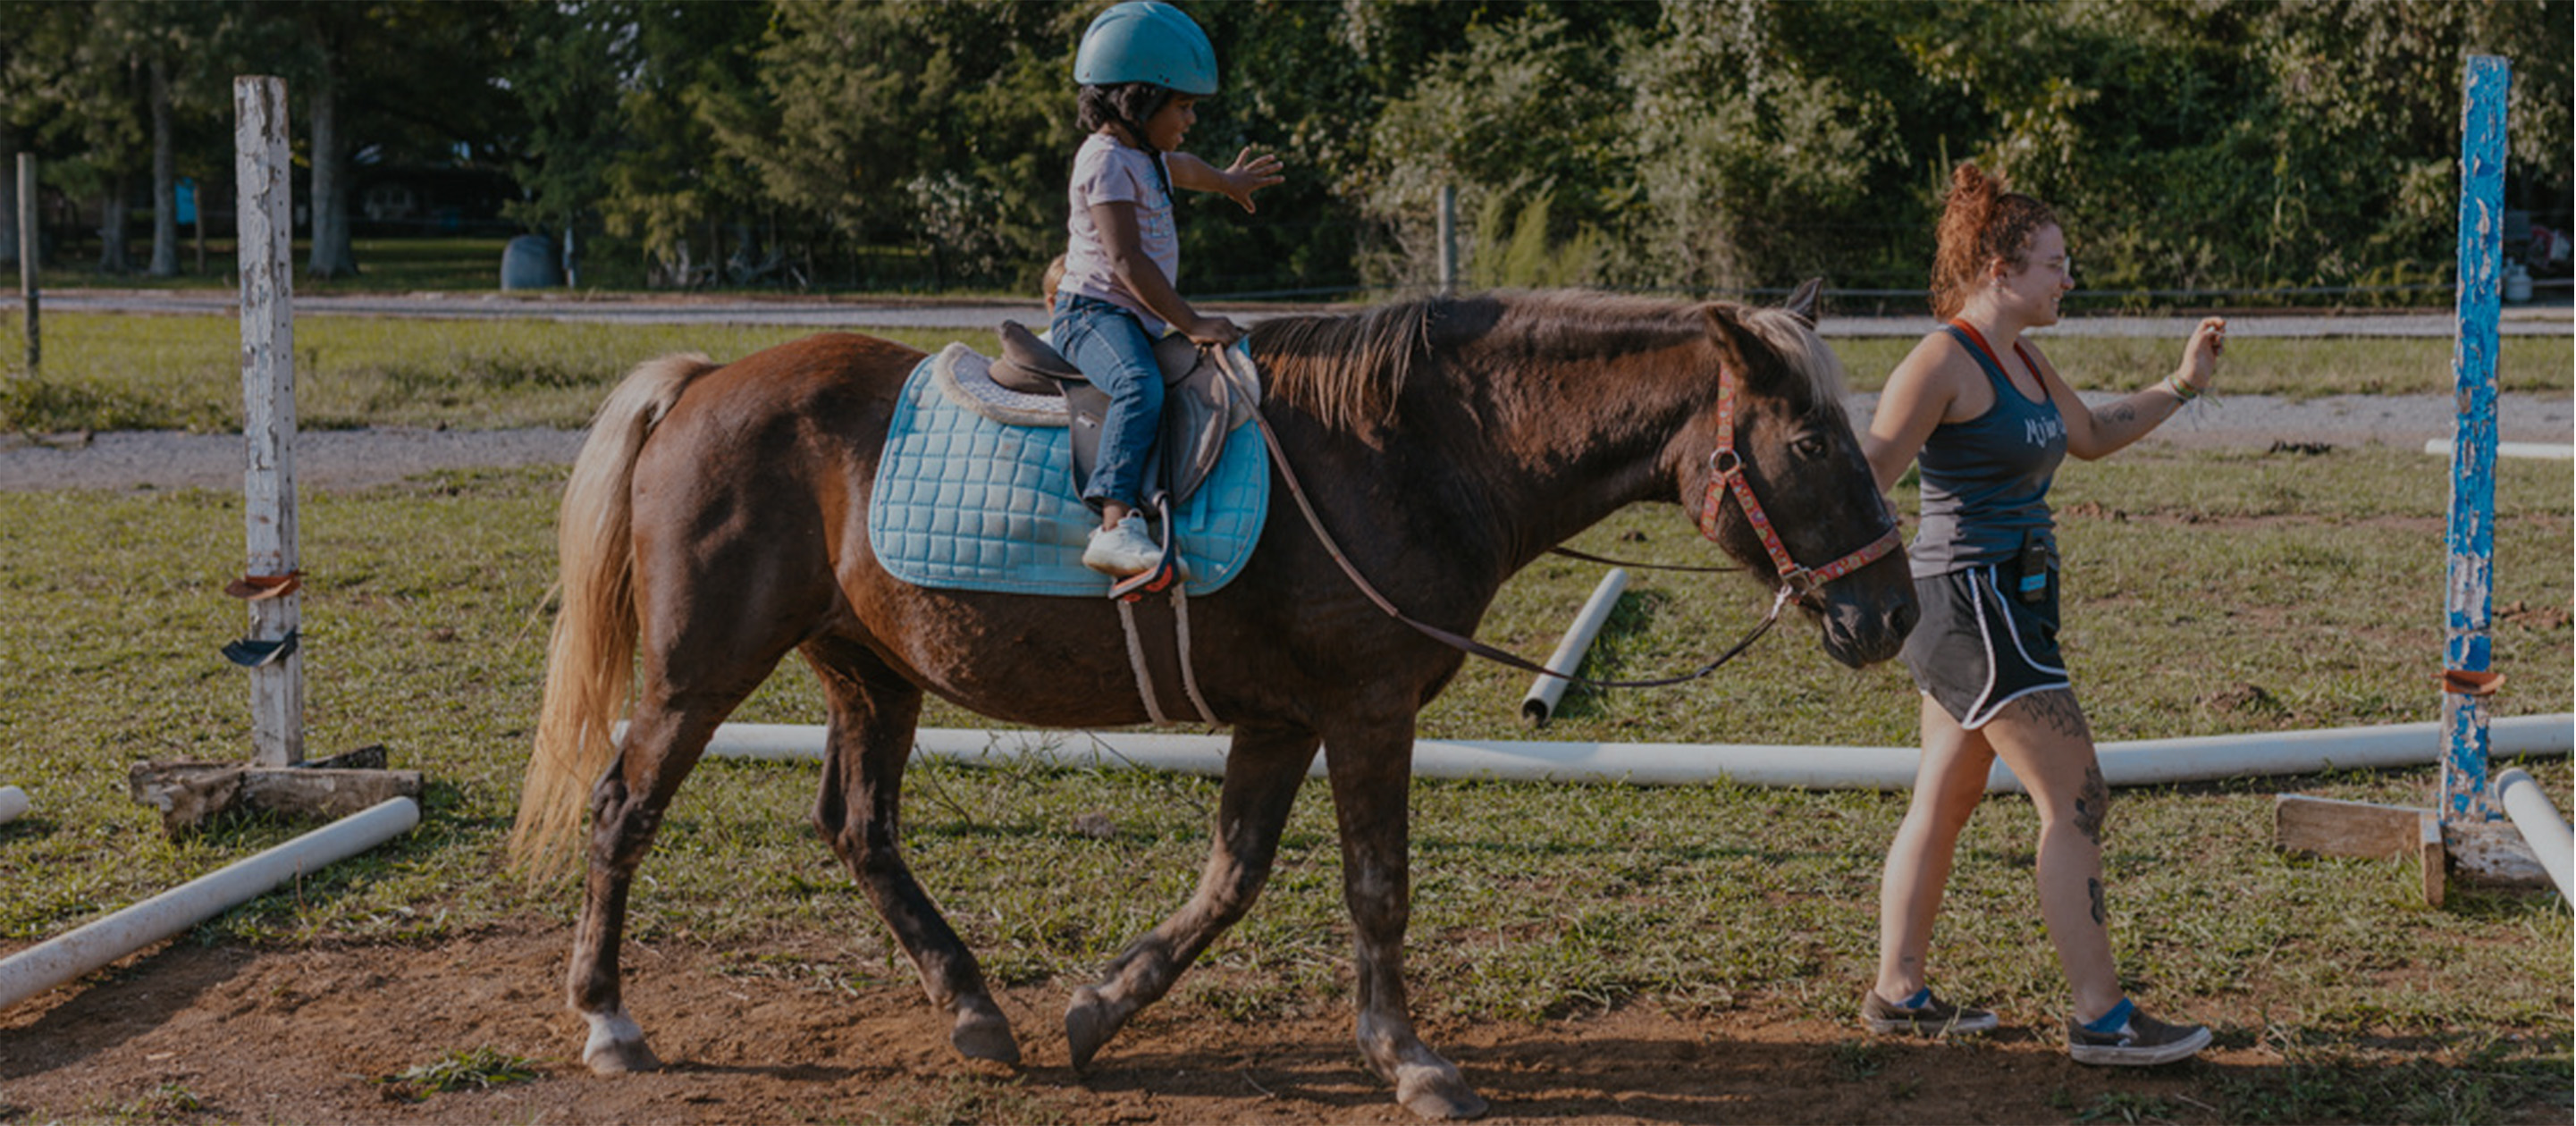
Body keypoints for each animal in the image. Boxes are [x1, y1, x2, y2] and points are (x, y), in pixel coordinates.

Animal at [507, 283, 1916, 1113]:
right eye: (1808, 442)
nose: (1892, 615)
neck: (1407, 453)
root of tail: (703, 384)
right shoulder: (1365, 710)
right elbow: (1375, 888)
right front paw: (1408, 1060)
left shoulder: (1282, 719)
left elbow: (1232, 876)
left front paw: (1098, 1008)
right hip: (700, 673)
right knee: (623, 812)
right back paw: (608, 1019)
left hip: (870, 672)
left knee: (859, 829)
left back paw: (973, 1008)